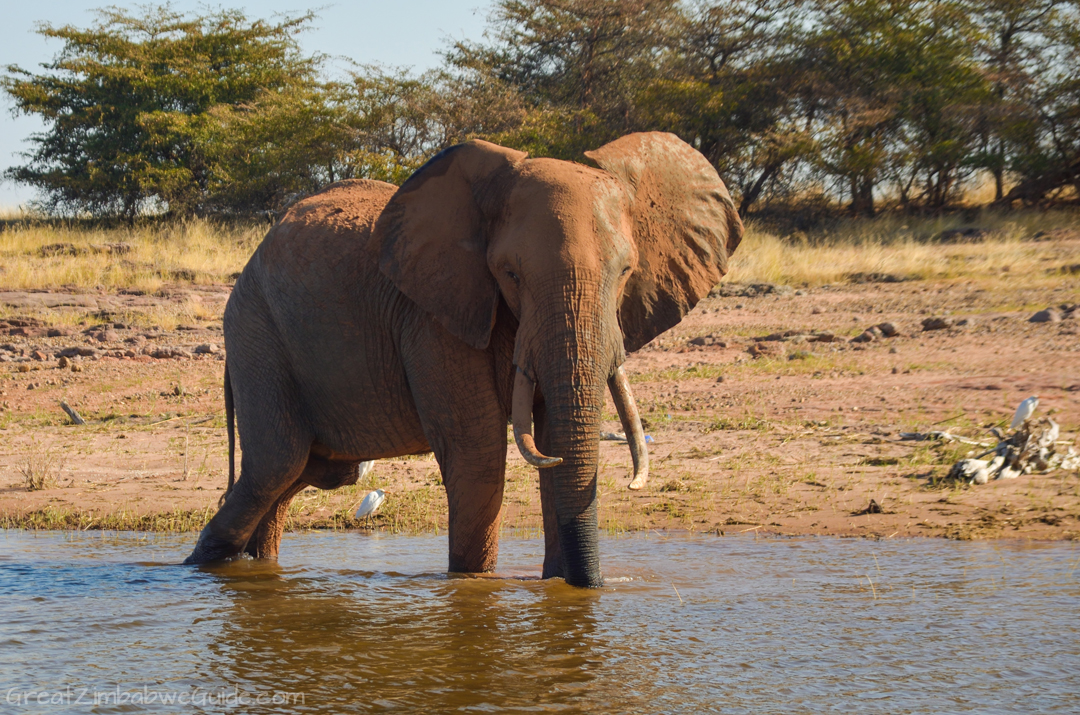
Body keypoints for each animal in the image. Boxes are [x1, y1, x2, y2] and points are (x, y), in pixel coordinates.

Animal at [185, 130, 743, 587]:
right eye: (510, 274)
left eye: (626, 271)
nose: (593, 587)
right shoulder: (434, 315)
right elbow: (478, 457)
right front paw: (474, 587)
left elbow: (554, 444)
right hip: (256, 333)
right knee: (274, 466)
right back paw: (201, 569)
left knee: (306, 472)